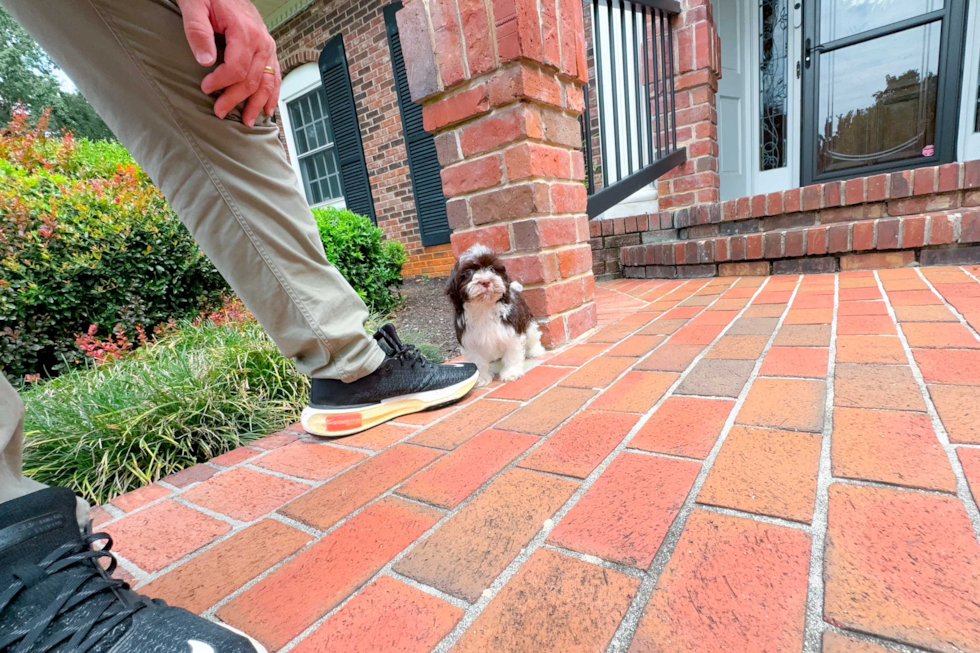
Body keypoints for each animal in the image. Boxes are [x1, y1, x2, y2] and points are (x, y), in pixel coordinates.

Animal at [444, 244, 544, 388]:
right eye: (468, 272)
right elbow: (478, 361)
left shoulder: (511, 332)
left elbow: (512, 353)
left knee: (533, 335)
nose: (486, 281)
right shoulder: (469, 340)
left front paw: (511, 372)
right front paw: (482, 378)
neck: (484, 307)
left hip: (527, 320)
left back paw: (536, 350)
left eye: (491, 269)